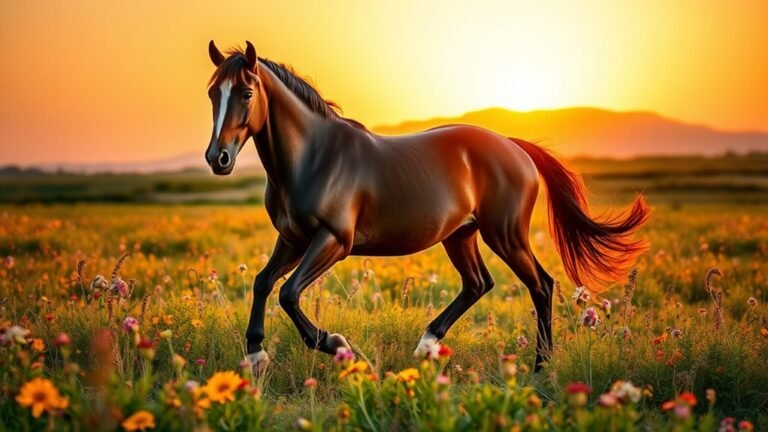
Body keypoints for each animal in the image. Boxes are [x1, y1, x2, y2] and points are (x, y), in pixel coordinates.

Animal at [204, 40, 650, 373]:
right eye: (212, 94)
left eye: (246, 93)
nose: (217, 158)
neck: (314, 158)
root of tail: (514, 146)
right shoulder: (293, 239)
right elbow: (264, 283)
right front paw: (256, 355)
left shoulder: (333, 241)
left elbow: (289, 293)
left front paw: (337, 344)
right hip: (461, 235)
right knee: (478, 284)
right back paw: (427, 346)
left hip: (505, 235)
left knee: (540, 285)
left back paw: (541, 368)